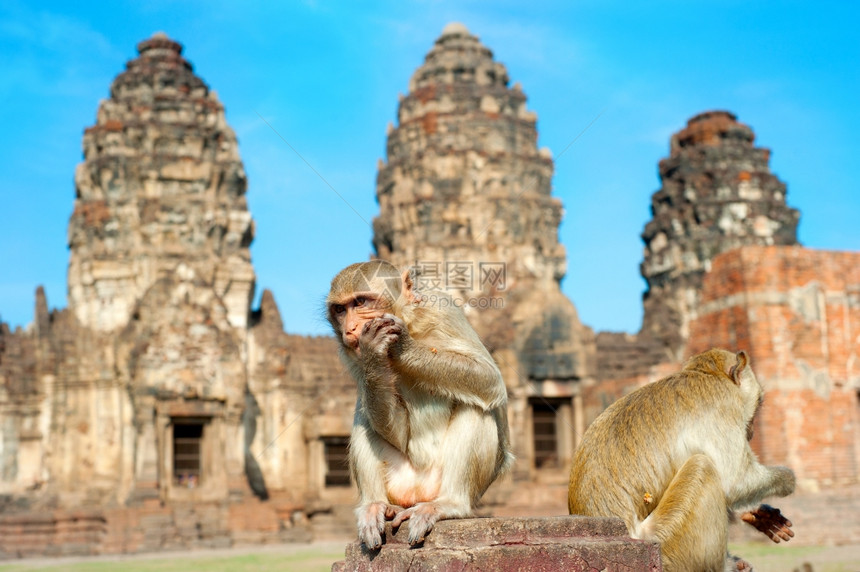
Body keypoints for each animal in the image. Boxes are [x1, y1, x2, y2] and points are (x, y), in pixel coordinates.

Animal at [324, 262, 510, 548]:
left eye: (360, 302)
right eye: (340, 310)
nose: (351, 328)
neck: (411, 322)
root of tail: (418, 493)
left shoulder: (443, 309)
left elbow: (488, 378)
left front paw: (402, 347)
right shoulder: (351, 356)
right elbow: (398, 433)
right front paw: (375, 354)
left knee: (477, 408)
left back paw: (450, 504)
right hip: (399, 481)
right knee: (363, 417)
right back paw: (375, 506)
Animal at [568, 348, 796, 572]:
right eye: (758, 404)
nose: (752, 430)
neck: (707, 374)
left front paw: (757, 514)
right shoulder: (724, 406)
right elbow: (736, 481)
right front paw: (788, 480)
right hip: (668, 542)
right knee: (703, 466)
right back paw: (727, 566)